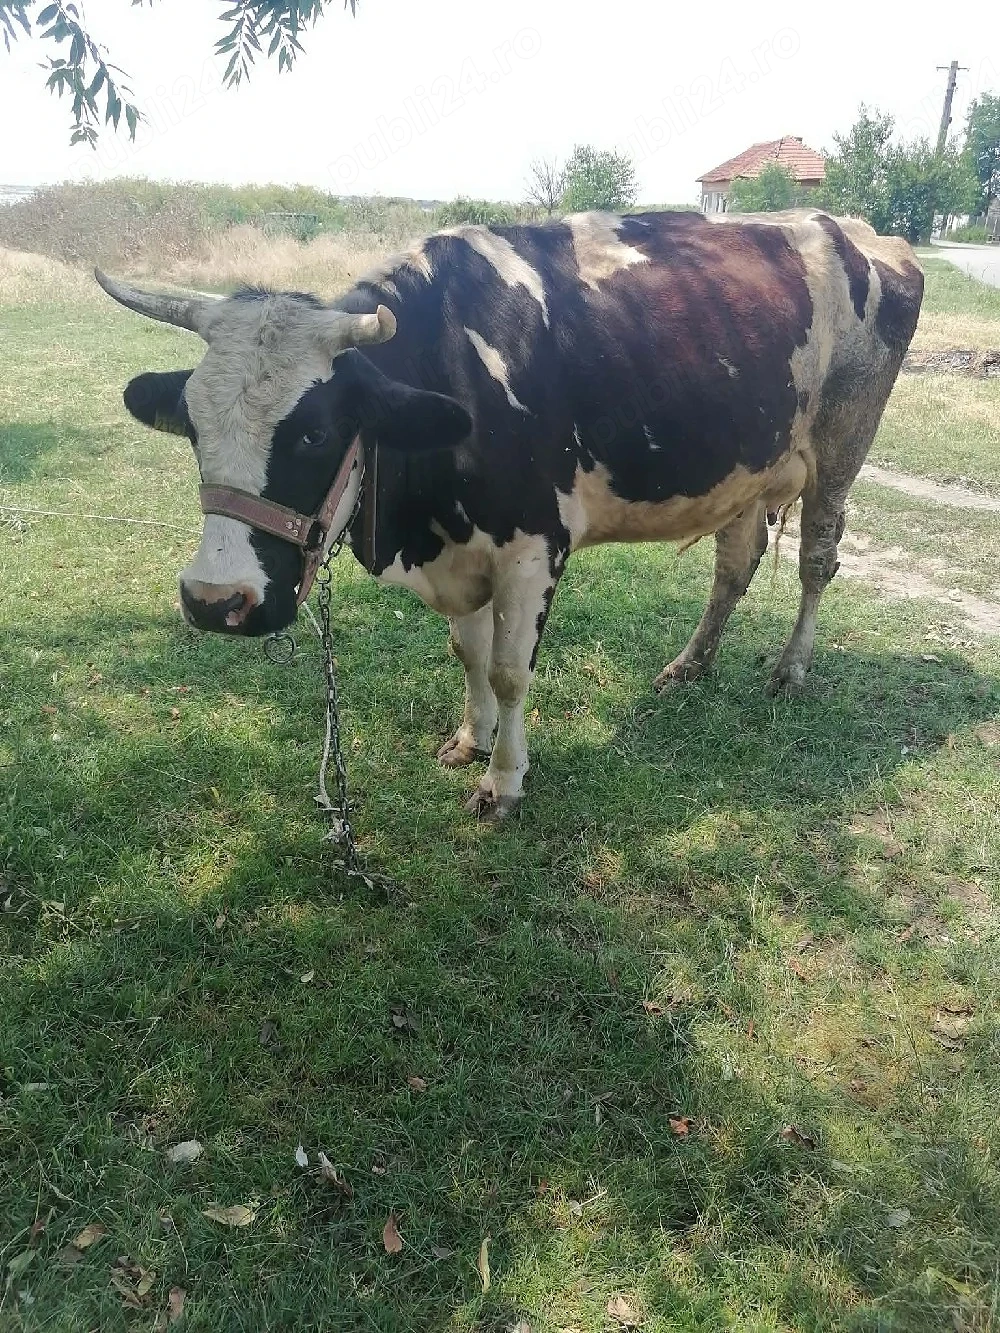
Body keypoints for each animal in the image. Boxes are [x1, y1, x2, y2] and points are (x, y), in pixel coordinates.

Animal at [95, 207, 923, 819]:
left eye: (315, 433)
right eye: (193, 425)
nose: (215, 600)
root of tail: (862, 232)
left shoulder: (532, 549)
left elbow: (508, 670)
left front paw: (503, 779)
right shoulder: (459, 552)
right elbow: (467, 654)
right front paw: (470, 738)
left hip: (843, 444)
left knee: (817, 560)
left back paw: (790, 667)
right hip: (748, 468)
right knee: (734, 564)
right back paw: (691, 664)